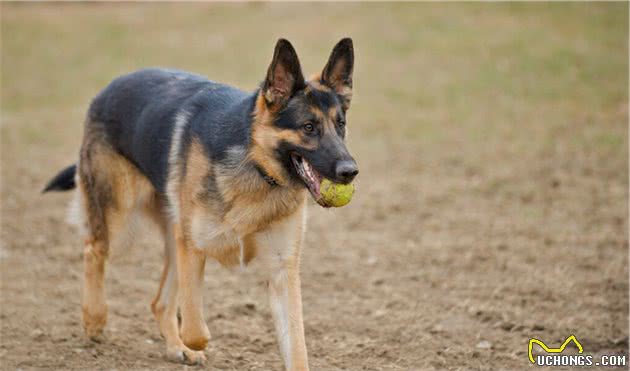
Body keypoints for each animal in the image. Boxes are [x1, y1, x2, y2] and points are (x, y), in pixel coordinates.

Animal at [43, 39, 360, 370]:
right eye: (309, 127)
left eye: (340, 125)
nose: (350, 172)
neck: (255, 165)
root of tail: (109, 87)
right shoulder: (194, 247)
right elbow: (196, 329)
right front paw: (197, 339)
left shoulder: (281, 272)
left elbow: (297, 348)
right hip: (122, 222)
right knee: (93, 250)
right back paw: (94, 319)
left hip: (172, 236)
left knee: (159, 302)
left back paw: (174, 347)